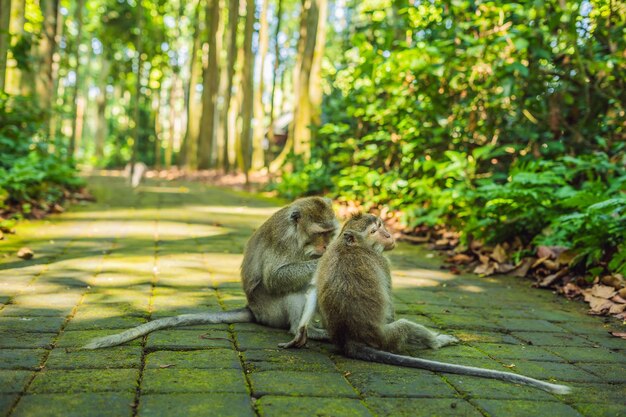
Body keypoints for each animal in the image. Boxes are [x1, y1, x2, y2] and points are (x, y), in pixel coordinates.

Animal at [83, 195, 338, 348]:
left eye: (330, 233)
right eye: (319, 234)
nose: (326, 247)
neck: (298, 236)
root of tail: (253, 310)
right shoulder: (283, 240)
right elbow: (275, 278)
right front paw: (321, 262)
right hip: (269, 309)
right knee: (292, 289)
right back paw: (302, 330)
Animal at [280, 214, 568, 394]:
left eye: (381, 224)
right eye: (375, 230)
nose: (388, 234)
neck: (353, 246)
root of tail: (350, 339)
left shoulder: (326, 255)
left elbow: (313, 289)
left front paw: (300, 333)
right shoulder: (383, 263)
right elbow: (390, 307)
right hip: (386, 337)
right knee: (404, 326)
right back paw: (437, 341)